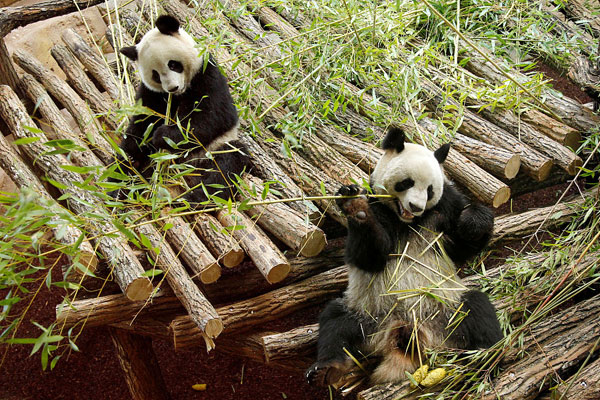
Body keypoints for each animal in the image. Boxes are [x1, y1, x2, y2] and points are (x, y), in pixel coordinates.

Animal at [117, 15, 248, 203]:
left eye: (173, 64)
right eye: (155, 75)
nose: (172, 88)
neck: (180, 94)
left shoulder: (207, 74)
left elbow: (213, 117)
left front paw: (162, 135)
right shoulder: (152, 94)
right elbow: (141, 127)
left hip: (212, 150)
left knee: (227, 165)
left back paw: (197, 198)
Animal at [308, 126, 504, 386]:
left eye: (430, 190)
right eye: (406, 183)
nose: (416, 207)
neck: (407, 221)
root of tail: (406, 329)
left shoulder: (446, 206)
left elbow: (461, 248)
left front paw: (474, 221)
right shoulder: (377, 207)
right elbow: (368, 257)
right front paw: (356, 207)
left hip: (447, 307)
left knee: (478, 309)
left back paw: (485, 356)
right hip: (367, 315)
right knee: (335, 324)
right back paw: (327, 368)